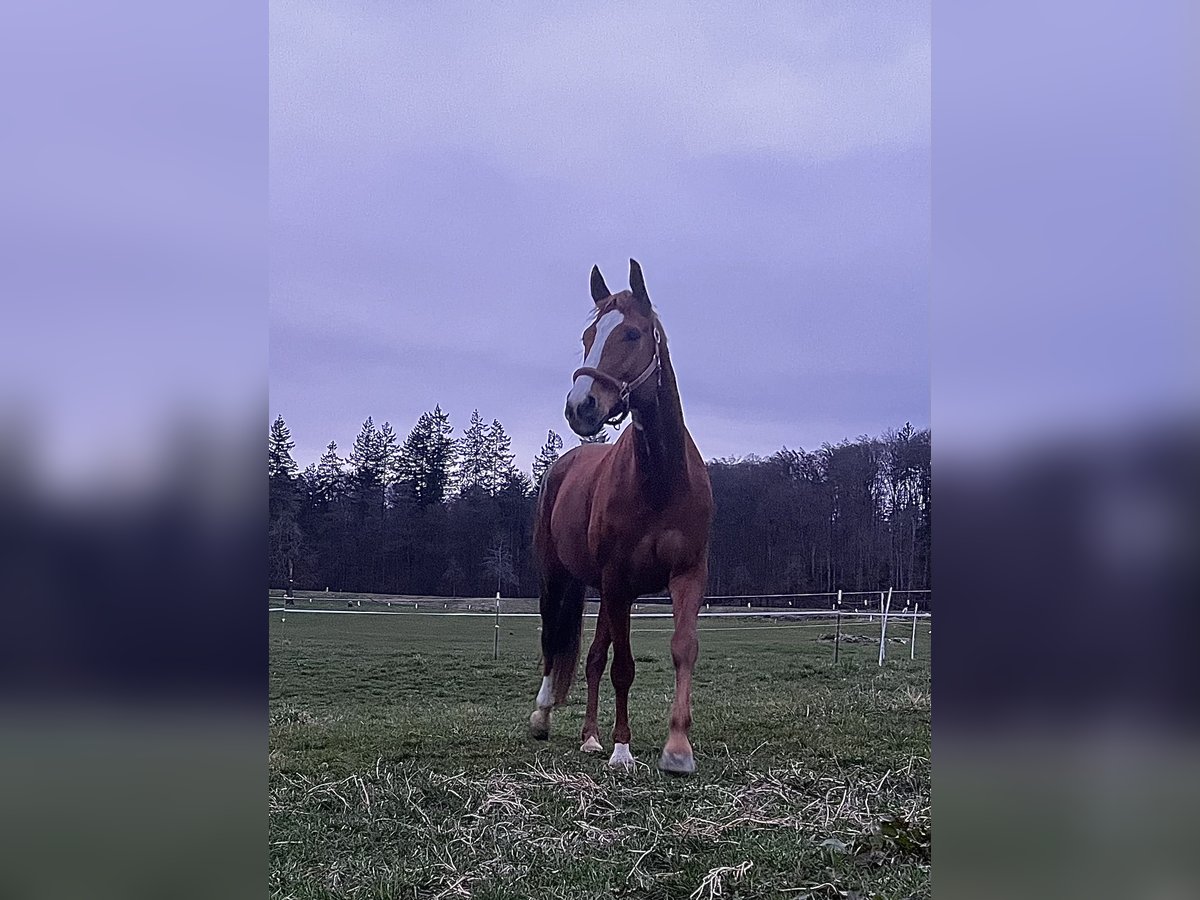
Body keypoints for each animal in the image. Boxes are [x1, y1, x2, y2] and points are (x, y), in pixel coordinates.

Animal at [528, 259, 710, 777]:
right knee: (553, 641)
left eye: (631, 334)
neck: (661, 481)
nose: (580, 406)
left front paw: (677, 748)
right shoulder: (617, 579)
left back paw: (590, 737)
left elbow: (682, 649)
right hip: (559, 578)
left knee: (590, 657)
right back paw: (543, 717)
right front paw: (622, 750)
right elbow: (623, 667)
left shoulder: (687, 573)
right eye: (588, 335)